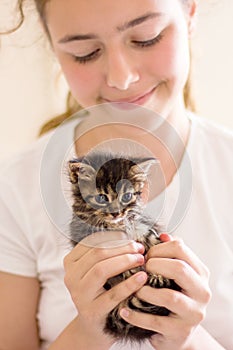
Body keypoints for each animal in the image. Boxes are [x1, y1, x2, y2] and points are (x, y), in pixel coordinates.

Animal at [68, 152, 180, 342]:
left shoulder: (141, 225)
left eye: (126, 197)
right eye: (101, 198)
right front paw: (131, 270)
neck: (116, 224)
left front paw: (161, 268)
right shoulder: (83, 232)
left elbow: (152, 239)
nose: (116, 213)